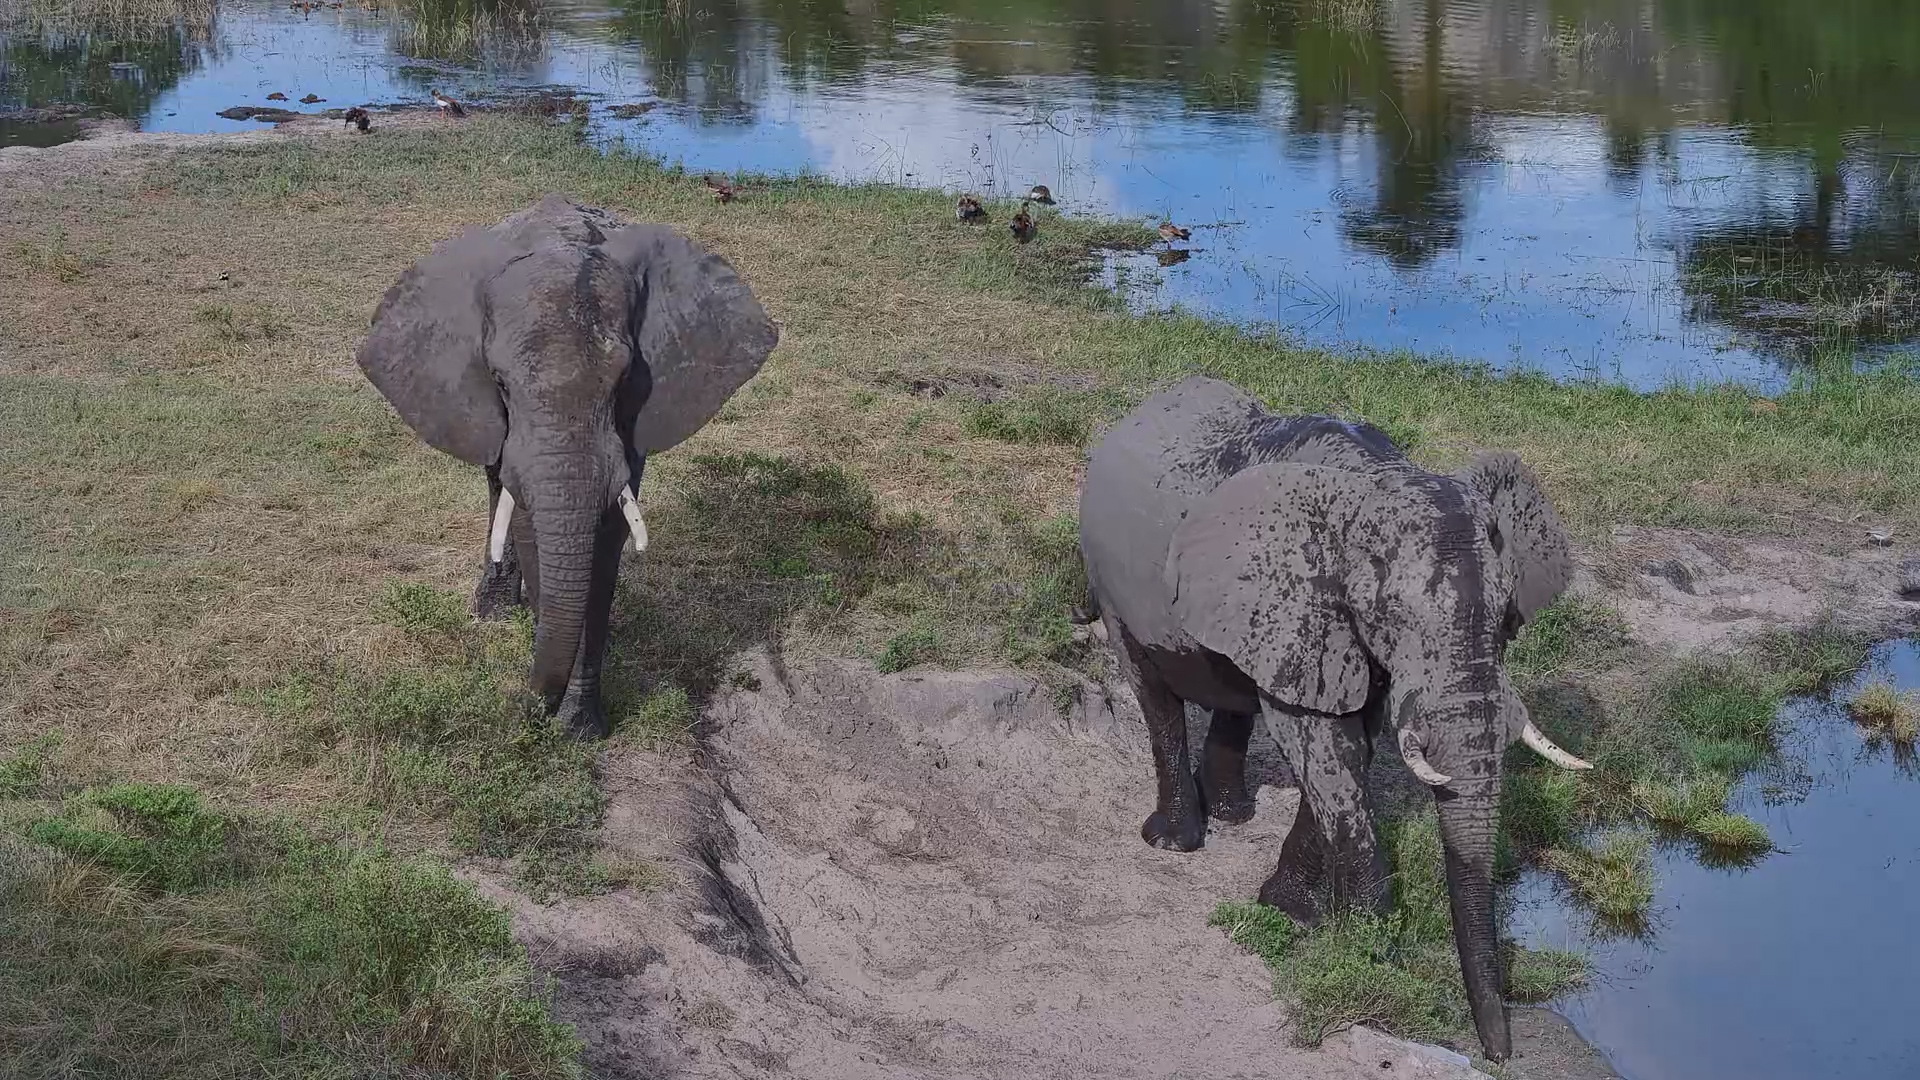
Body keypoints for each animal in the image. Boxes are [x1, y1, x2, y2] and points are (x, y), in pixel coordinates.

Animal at [356, 195, 777, 737]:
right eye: (500, 382)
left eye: (624, 379)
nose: (523, 705)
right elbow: (530, 524)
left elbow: (609, 533)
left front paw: (579, 728)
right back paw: (493, 614)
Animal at [1077, 376, 1588, 1062]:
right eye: (1392, 616)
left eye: (1508, 618)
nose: (1500, 1055)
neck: (1380, 478)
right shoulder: (1300, 599)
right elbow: (1321, 746)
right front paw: (1367, 942)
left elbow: (1351, 747)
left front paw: (1294, 912)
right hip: (1112, 584)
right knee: (1153, 692)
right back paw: (1174, 839)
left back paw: (1234, 814)